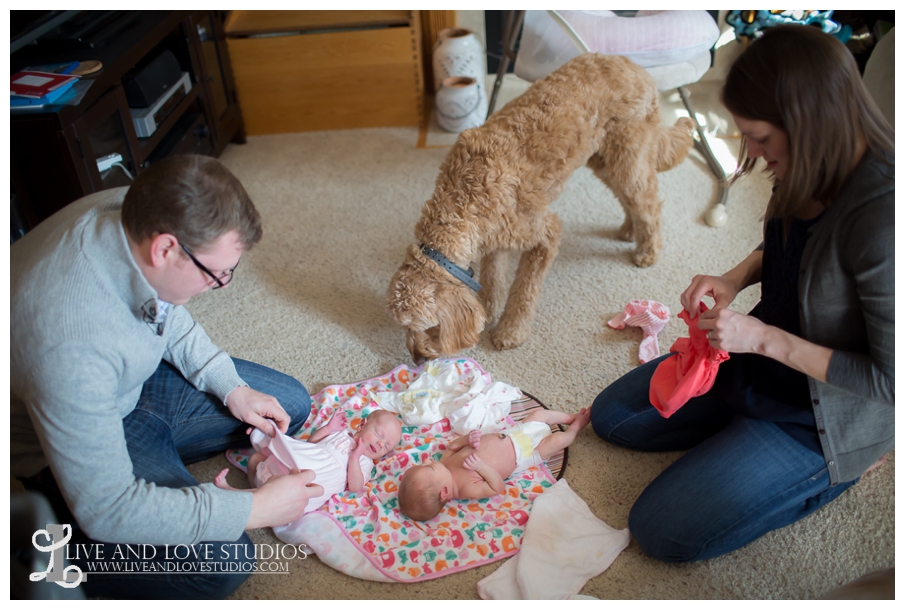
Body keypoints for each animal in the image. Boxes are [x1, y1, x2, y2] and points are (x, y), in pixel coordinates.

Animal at [386, 53, 692, 360]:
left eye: (422, 326)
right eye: (404, 328)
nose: (417, 359)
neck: (462, 198)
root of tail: (635, 65)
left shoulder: (544, 234)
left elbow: (524, 292)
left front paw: (511, 331)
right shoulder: (495, 241)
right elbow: (493, 279)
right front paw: (488, 310)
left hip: (626, 154)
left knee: (649, 203)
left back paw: (647, 251)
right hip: (604, 159)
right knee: (632, 198)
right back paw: (629, 230)